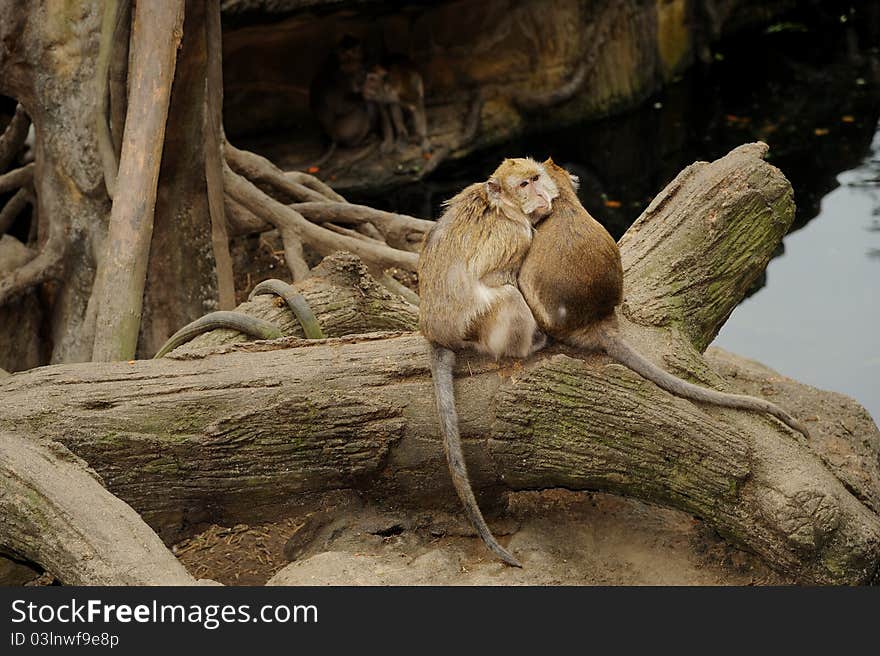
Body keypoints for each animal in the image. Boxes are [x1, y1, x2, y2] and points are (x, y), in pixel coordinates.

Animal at [418, 156, 556, 568]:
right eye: (525, 184)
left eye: (536, 178)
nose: (542, 195)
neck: (503, 205)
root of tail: (436, 332)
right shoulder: (516, 235)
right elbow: (499, 276)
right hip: (477, 325)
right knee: (507, 297)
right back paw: (530, 345)